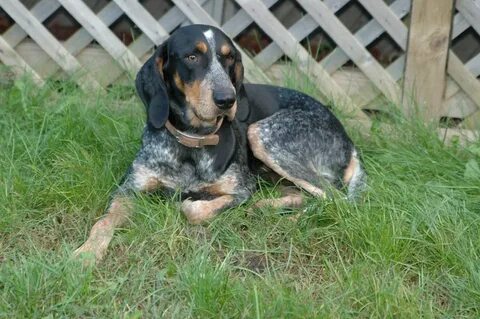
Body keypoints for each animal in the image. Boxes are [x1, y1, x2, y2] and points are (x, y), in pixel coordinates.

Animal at [74, 24, 364, 262]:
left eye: (229, 57)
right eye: (192, 57)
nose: (227, 99)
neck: (191, 142)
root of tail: (349, 141)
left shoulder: (241, 189)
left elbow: (192, 209)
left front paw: (190, 203)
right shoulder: (128, 190)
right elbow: (103, 222)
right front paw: (86, 253)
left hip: (263, 134)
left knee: (336, 200)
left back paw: (291, 219)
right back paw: (268, 207)